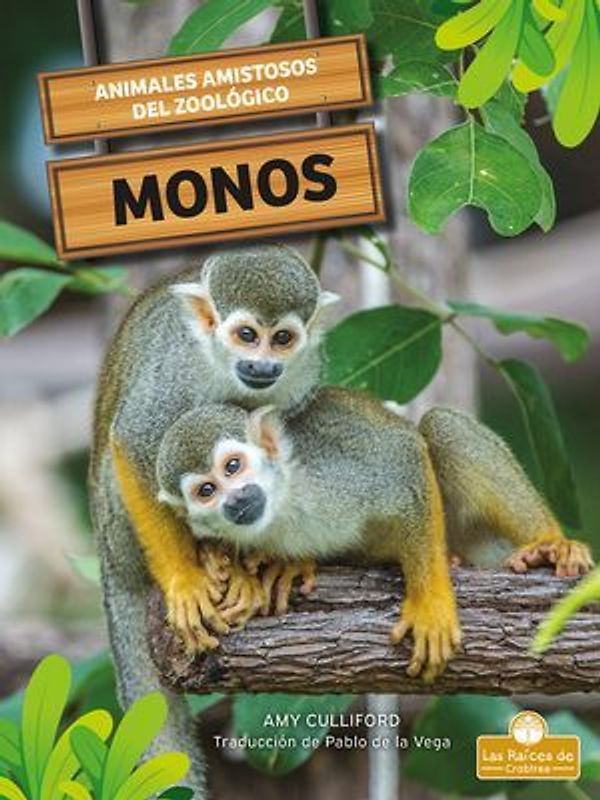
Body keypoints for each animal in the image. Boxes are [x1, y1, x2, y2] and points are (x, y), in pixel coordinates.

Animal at [89, 244, 338, 792]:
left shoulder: (303, 372)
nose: (261, 365)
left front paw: (279, 561)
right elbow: (133, 444)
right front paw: (184, 580)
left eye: (282, 339)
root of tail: (108, 562)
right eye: (246, 335)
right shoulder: (174, 370)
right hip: (117, 528)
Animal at [156, 389, 463, 683]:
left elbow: (405, 460)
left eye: (233, 466)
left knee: (440, 426)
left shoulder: (335, 471)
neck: (284, 501)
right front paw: (234, 569)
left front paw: (429, 604)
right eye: (206, 491)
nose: (236, 499)